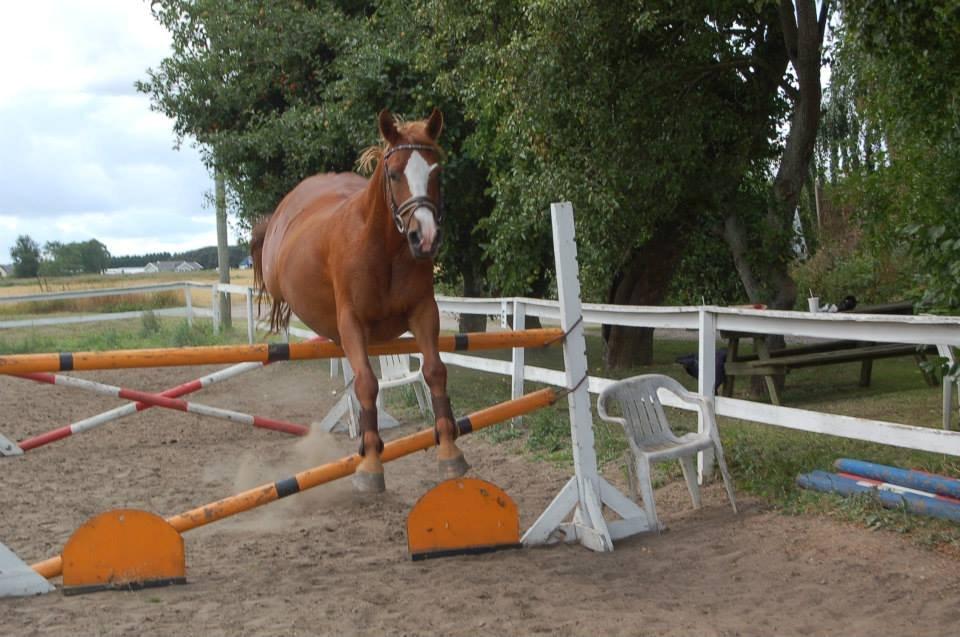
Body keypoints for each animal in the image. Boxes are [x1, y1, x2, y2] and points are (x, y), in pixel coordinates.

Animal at [251, 109, 468, 492]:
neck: (383, 248)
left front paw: (448, 447)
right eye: (394, 174)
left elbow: (434, 371)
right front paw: (370, 461)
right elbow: (367, 382)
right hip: (276, 275)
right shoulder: (352, 321)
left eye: (437, 173)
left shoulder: (424, 312)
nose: (426, 237)